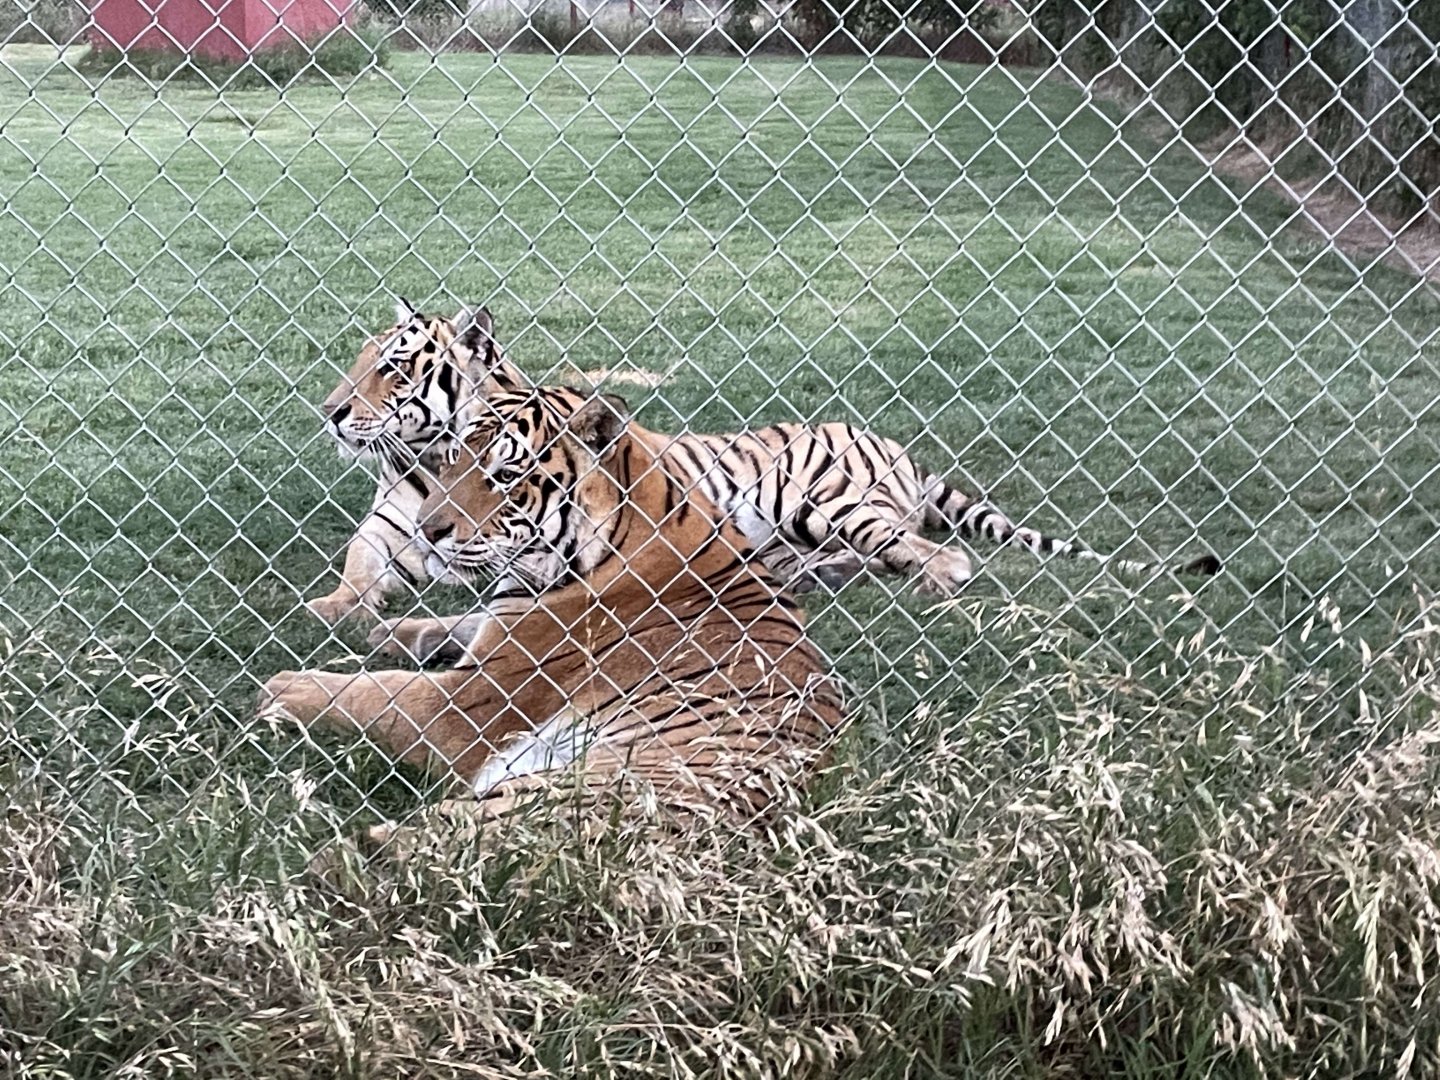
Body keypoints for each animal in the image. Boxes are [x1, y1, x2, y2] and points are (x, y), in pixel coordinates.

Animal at [260, 391, 846, 851]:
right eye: (451, 461)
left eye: (504, 476)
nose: (426, 530)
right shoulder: (499, 622)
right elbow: (462, 619)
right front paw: (387, 632)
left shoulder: (466, 703)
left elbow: (375, 692)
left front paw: (286, 688)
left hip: (572, 787)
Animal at [305, 301, 1221, 630]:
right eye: (354, 359)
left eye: (391, 366)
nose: (331, 411)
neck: (419, 462)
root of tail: (899, 447)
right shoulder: (390, 530)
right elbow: (358, 568)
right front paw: (335, 605)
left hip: (819, 500)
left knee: (936, 554)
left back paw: (930, 576)